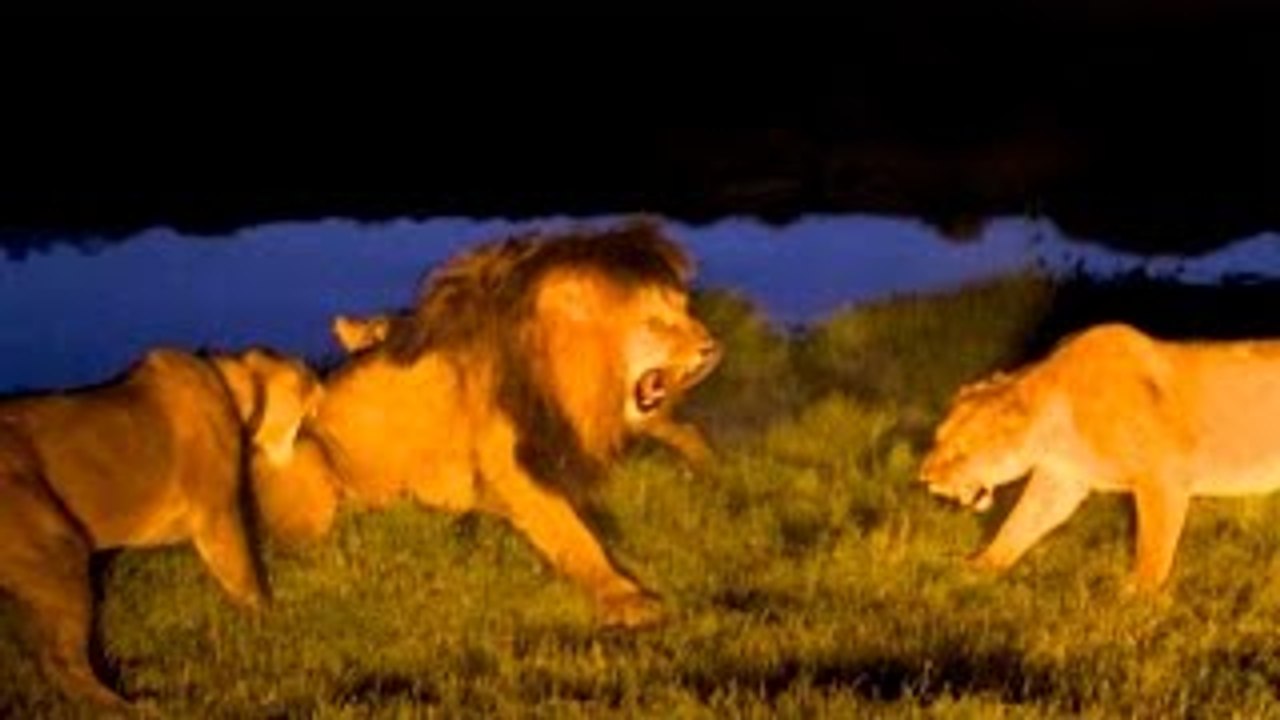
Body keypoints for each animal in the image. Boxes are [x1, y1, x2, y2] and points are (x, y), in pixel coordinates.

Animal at [0, 346, 322, 708]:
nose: (319, 387)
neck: (230, 384)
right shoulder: (216, 515)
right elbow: (246, 578)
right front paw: (273, 622)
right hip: (57, 549)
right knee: (59, 662)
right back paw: (133, 706)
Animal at [272, 218, 722, 627]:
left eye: (684, 309)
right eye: (653, 323)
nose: (713, 349)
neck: (560, 378)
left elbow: (680, 431)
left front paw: (711, 467)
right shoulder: (514, 462)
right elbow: (573, 533)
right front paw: (625, 597)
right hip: (307, 451)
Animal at [920, 321, 1280, 592]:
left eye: (961, 450)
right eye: (938, 438)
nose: (924, 478)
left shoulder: (1163, 478)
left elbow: (1153, 545)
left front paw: (1137, 594)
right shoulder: (1061, 478)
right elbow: (1020, 522)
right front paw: (980, 567)